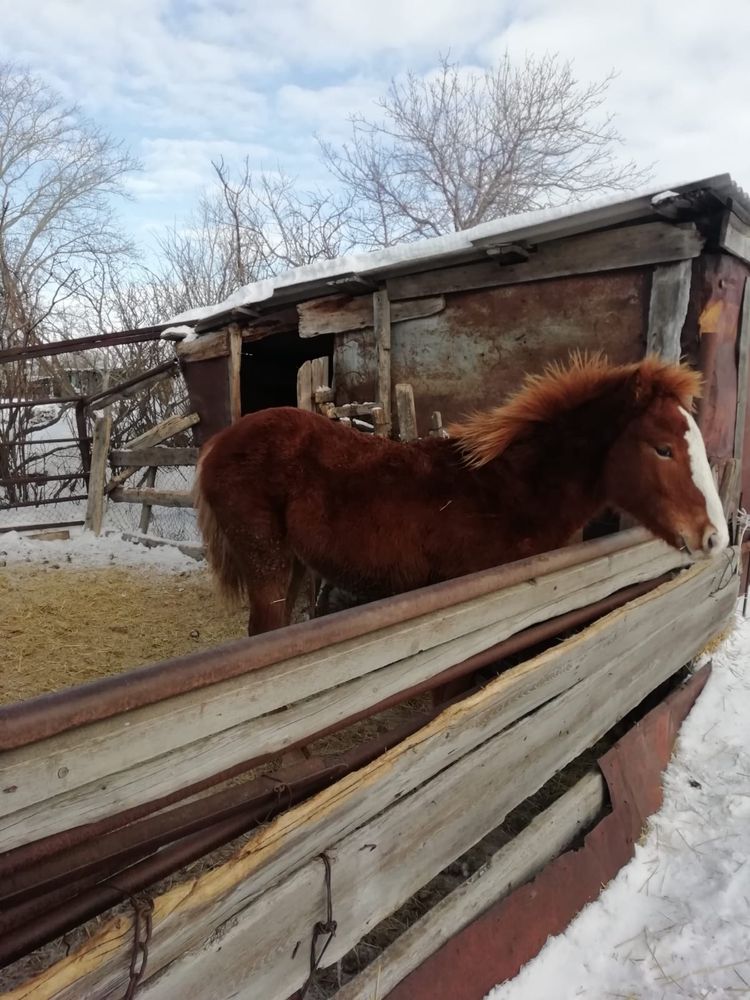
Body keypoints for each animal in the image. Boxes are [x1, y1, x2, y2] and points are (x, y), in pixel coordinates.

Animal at [194, 354, 728, 632]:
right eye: (663, 448)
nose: (716, 537)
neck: (512, 492)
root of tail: (219, 441)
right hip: (267, 562)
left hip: (298, 564)